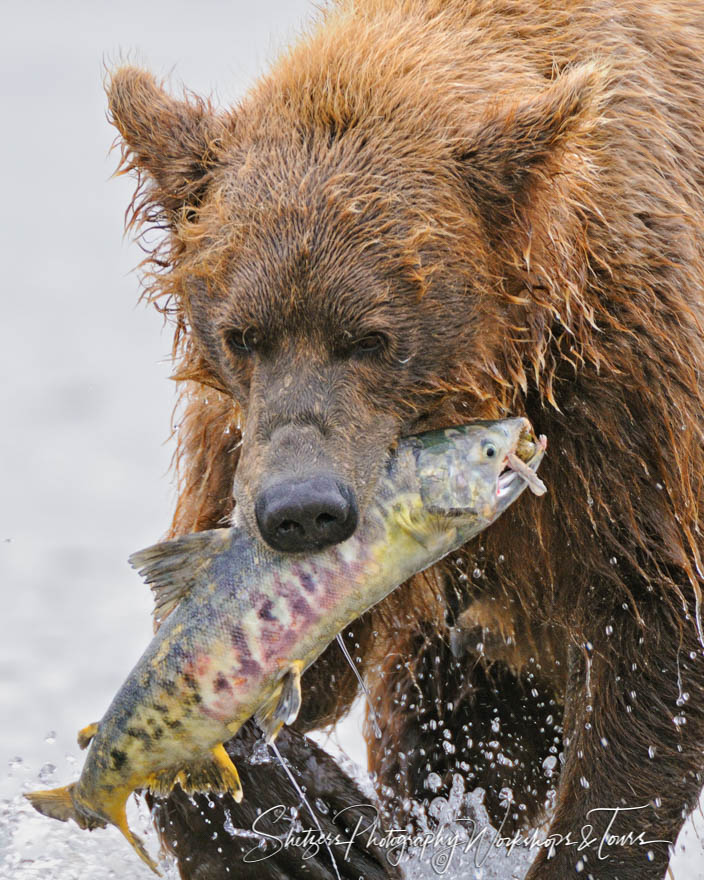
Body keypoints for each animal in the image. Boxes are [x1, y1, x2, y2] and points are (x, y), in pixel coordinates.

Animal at [106, 1, 704, 880]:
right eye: (244, 334)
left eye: (372, 337)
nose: (301, 510)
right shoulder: (241, 439)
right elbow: (249, 643)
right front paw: (310, 831)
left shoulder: (627, 405)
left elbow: (650, 639)